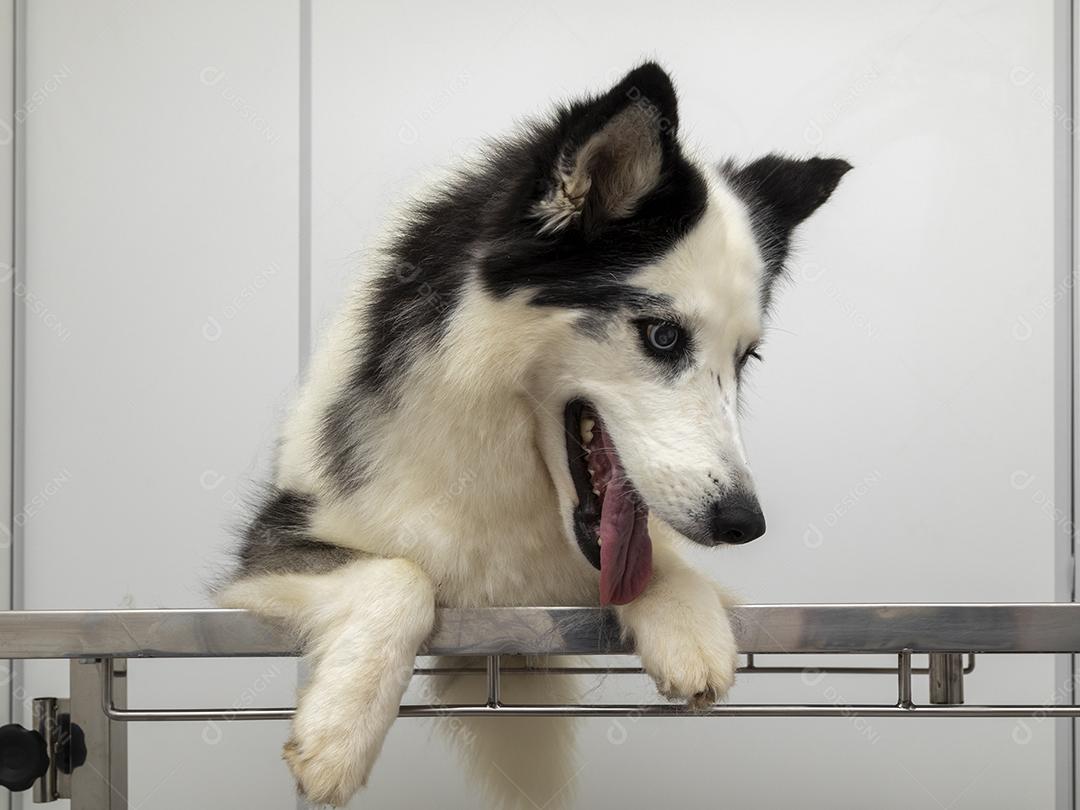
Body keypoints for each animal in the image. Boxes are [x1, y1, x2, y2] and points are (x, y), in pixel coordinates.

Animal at [214, 63, 846, 810]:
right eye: (664, 336)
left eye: (745, 359)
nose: (743, 523)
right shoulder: (271, 546)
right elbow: (400, 575)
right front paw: (340, 732)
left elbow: (658, 562)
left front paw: (691, 623)